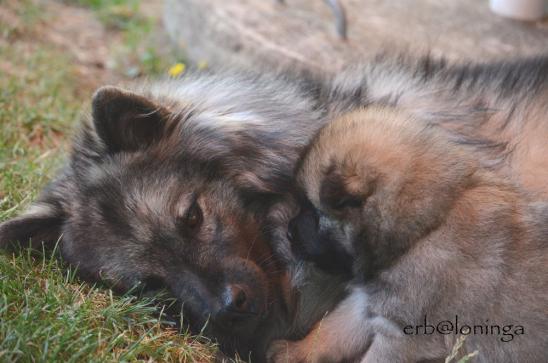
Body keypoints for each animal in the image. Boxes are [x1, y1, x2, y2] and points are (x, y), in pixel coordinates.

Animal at [268, 106, 548, 362]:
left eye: (312, 210)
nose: (289, 232)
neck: (426, 228)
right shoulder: (366, 305)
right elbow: (331, 331)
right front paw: (293, 352)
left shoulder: (405, 335)